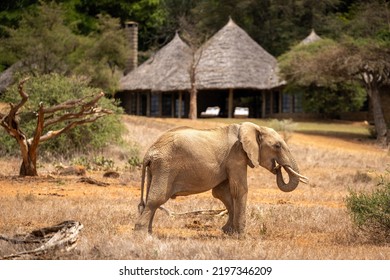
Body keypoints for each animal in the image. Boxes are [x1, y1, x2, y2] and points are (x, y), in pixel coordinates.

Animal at [134, 122, 308, 234]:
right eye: (277, 146)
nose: (278, 168)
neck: (254, 127)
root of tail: (149, 152)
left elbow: (222, 193)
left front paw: (227, 232)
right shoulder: (236, 156)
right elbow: (239, 190)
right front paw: (241, 235)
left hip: (156, 169)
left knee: (150, 198)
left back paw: (149, 232)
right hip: (165, 167)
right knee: (156, 198)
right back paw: (142, 235)